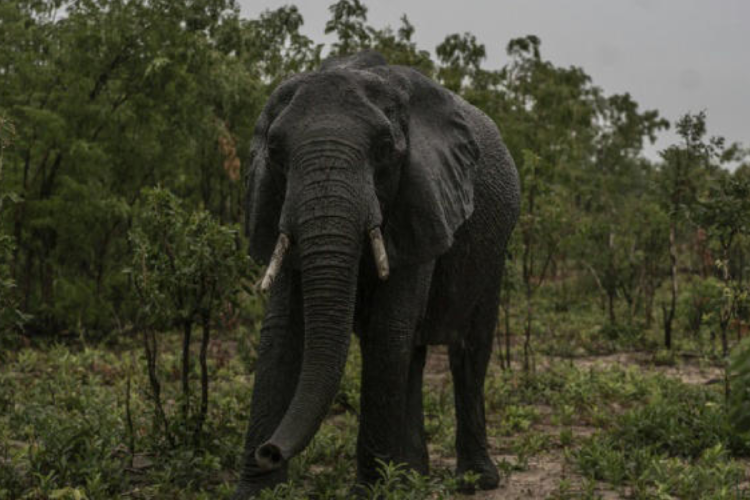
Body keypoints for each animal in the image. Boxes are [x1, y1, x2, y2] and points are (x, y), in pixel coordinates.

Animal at [233, 50, 520, 499]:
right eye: (275, 151)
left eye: (385, 149)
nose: (270, 451)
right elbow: (282, 331)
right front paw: (255, 491)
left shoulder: (421, 197)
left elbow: (388, 328)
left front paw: (370, 491)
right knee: (413, 355)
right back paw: (412, 477)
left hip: (495, 247)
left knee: (468, 349)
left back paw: (474, 481)